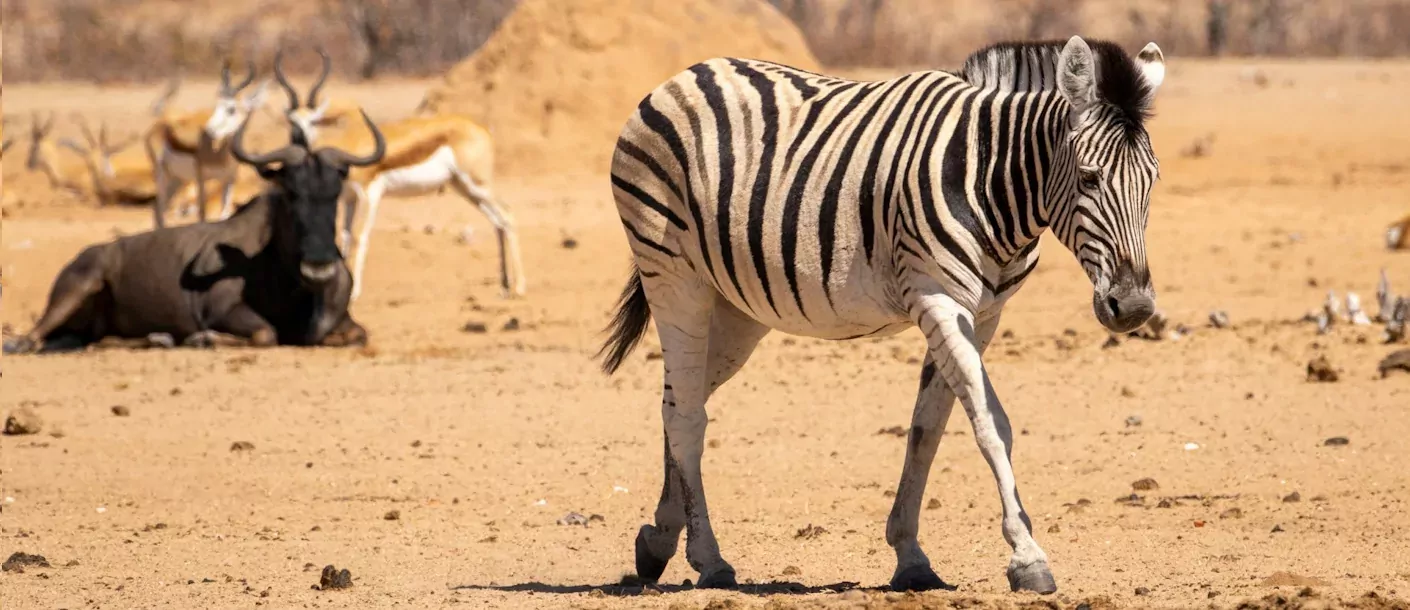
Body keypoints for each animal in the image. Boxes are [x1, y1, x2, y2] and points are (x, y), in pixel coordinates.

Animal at [145, 61, 269, 228]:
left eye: (231, 109)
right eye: (217, 105)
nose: (209, 130)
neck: (220, 155)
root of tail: (157, 126)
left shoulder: (229, 179)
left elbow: (225, 214)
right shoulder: (201, 178)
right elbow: (202, 214)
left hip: (176, 179)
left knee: (159, 210)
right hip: (161, 175)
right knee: (158, 209)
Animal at [273, 51, 524, 298]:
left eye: (314, 120)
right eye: (290, 120)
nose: (298, 139)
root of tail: (483, 130)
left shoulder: (370, 194)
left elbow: (360, 237)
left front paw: (354, 292)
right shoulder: (348, 198)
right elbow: (344, 236)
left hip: (477, 184)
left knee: (508, 215)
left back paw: (519, 287)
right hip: (463, 187)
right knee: (497, 222)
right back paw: (504, 286)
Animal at [600, 35, 1161, 591]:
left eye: (1152, 182)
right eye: (1089, 179)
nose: (1134, 308)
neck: (989, 179)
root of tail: (688, 73)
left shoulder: (983, 315)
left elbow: (927, 428)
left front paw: (910, 555)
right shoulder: (938, 298)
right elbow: (990, 422)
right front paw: (1027, 556)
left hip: (738, 308)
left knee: (679, 399)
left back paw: (660, 539)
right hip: (674, 277)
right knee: (687, 414)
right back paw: (710, 559)